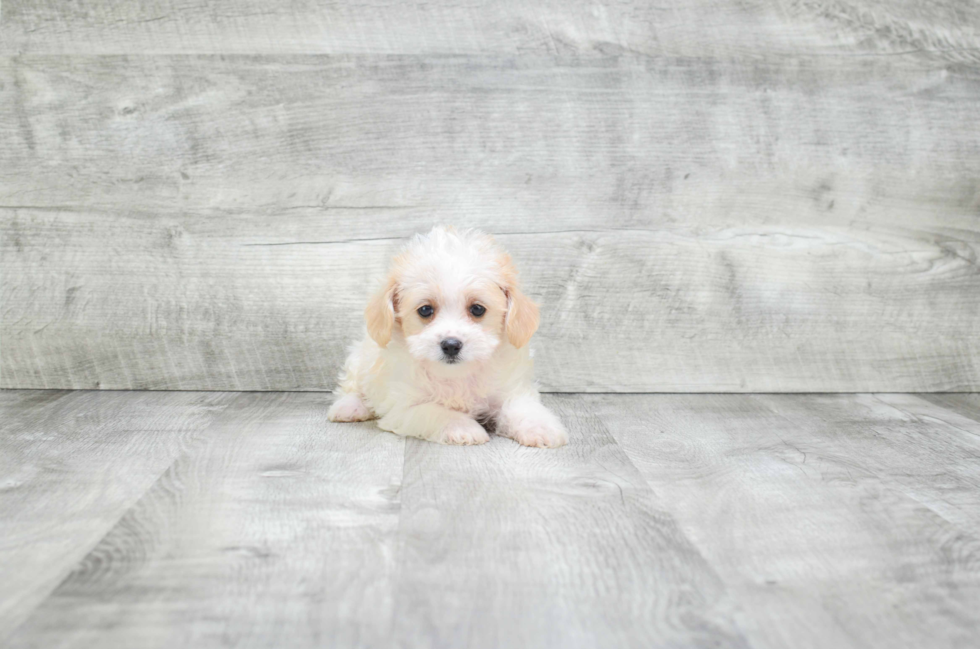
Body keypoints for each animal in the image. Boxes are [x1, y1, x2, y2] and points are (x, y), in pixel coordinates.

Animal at [328, 227, 568, 446]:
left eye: (477, 309)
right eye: (425, 310)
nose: (451, 345)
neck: (456, 376)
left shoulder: (510, 390)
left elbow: (522, 407)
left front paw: (541, 427)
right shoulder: (403, 406)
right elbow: (436, 411)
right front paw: (464, 428)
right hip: (358, 359)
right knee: (351, 387)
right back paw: (348, 407)